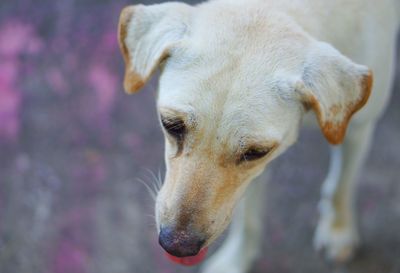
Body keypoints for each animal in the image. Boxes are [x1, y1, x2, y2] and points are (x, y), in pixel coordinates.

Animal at [117, 0, 398, 270]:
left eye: (255, 152)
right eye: (171, 125)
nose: (176, 246)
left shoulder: (358, 128)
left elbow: (342, 185)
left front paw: (338, 231)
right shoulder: (251, 176)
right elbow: (248, 217)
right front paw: (236, 260)